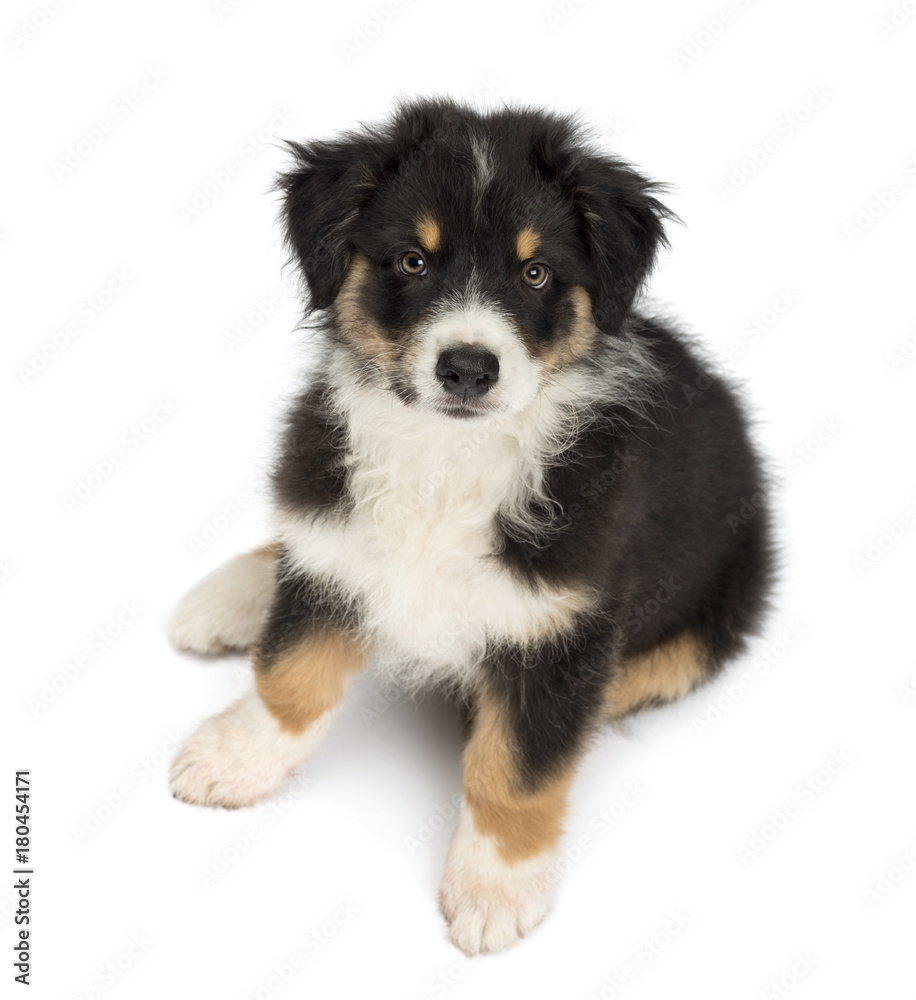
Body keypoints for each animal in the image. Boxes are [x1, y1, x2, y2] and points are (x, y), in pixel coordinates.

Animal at [166, 97, 772, 956]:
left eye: (535, 271)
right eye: (413, 262)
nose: (467, 369)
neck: (447, 459)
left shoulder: (565, 623)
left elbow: (514, 765)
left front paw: (495, 889)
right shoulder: (337, 545)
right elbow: (290, 673)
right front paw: (234, 758)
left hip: (719, 604)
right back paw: (234, 594)